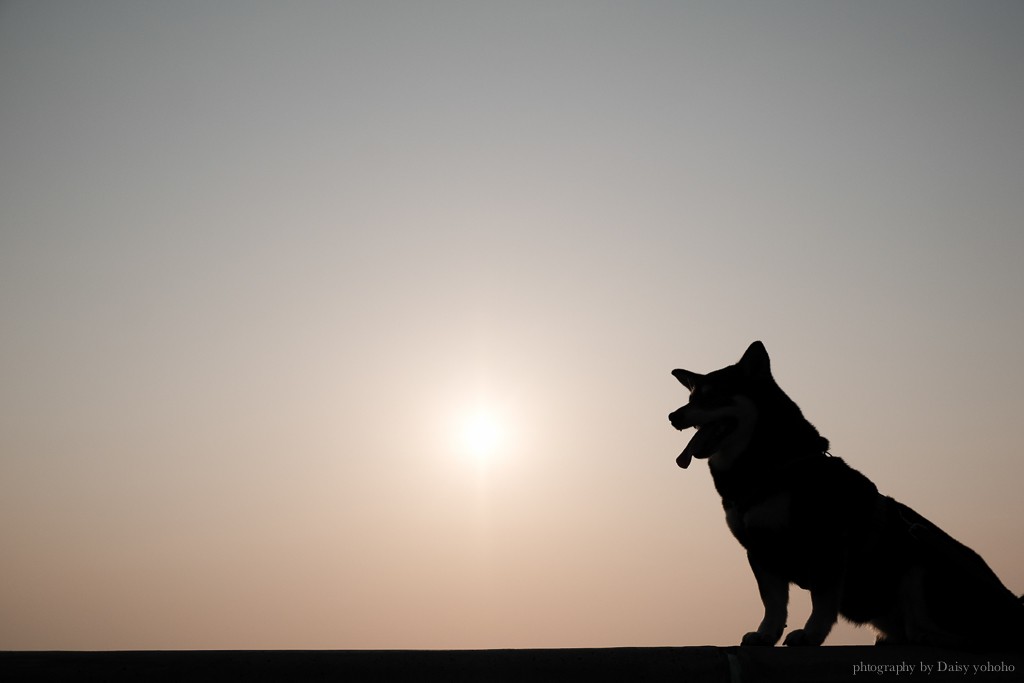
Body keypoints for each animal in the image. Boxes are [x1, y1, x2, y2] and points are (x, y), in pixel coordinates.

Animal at [667, 344, 1019, 651]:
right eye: (691, 398)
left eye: (713, 396)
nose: (673, 416)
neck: (772, 468)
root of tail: (1012, 607)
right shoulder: (760, 550)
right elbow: (773, 603)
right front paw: (766, 634)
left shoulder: (826, 543)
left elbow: (822, 602)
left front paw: (810, 635)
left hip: (920, 568)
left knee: (971, 635)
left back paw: (924, 636)